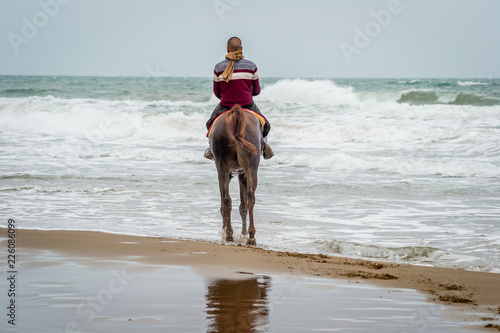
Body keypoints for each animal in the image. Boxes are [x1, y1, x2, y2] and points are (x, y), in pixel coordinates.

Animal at [208, 105, 262, 245]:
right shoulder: (242, 174)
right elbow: (242, 205)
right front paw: (242, 234)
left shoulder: (235, 174)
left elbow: (228, 204)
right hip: (251, 168)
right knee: (250, 197)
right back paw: (250, 236)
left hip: (224, 168)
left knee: (227, 200)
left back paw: (229, 234)